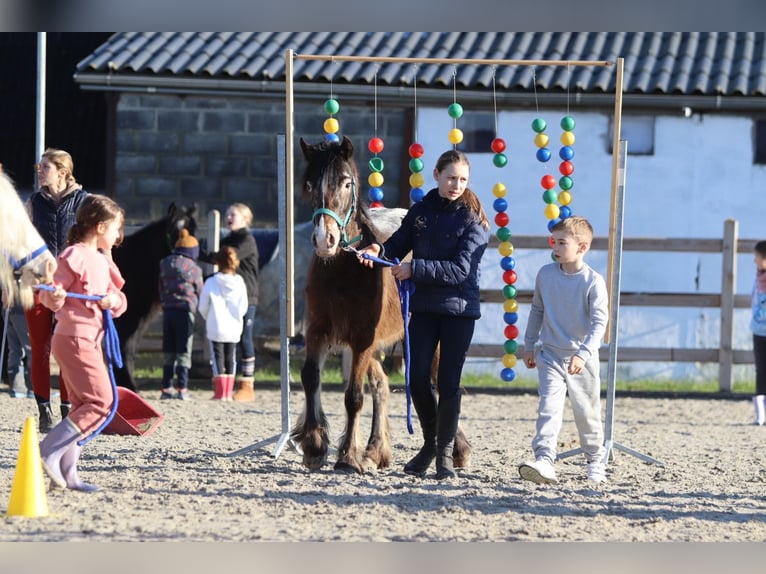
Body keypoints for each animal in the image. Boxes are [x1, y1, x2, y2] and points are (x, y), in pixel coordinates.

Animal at [113, 200, 200, 394]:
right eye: (171, 232)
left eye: (192, 233)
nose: (181, 259)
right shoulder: (128, 320)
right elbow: (125, 348)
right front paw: (129, 386)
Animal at [292, 137, 472, 474]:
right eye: (308, 184)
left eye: (346, 183)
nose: (325, 240)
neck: (343, 268)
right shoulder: (318, 331)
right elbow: (310, 378)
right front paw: (314, 446)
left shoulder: (362, 339)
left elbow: (353, 396)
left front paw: (347, 457)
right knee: (382, 385)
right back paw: (376, 450)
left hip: (427, 343)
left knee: (440, 383)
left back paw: (458, 449)